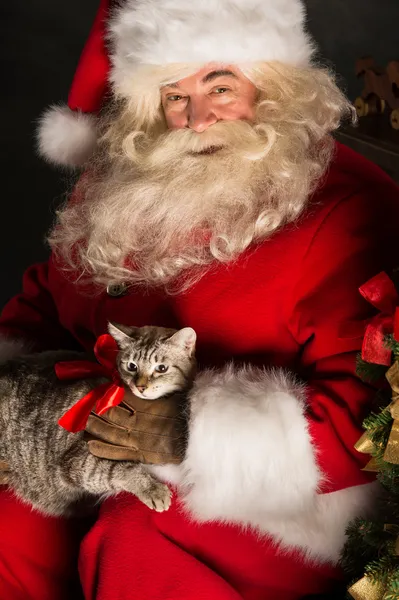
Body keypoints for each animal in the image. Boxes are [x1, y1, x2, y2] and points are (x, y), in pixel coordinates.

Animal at [0, 326, 197, 516]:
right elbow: (121, 470)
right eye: (132, 366)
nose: (140, 386)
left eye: (161, 368)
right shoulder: (79, 461)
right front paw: (152, 488)